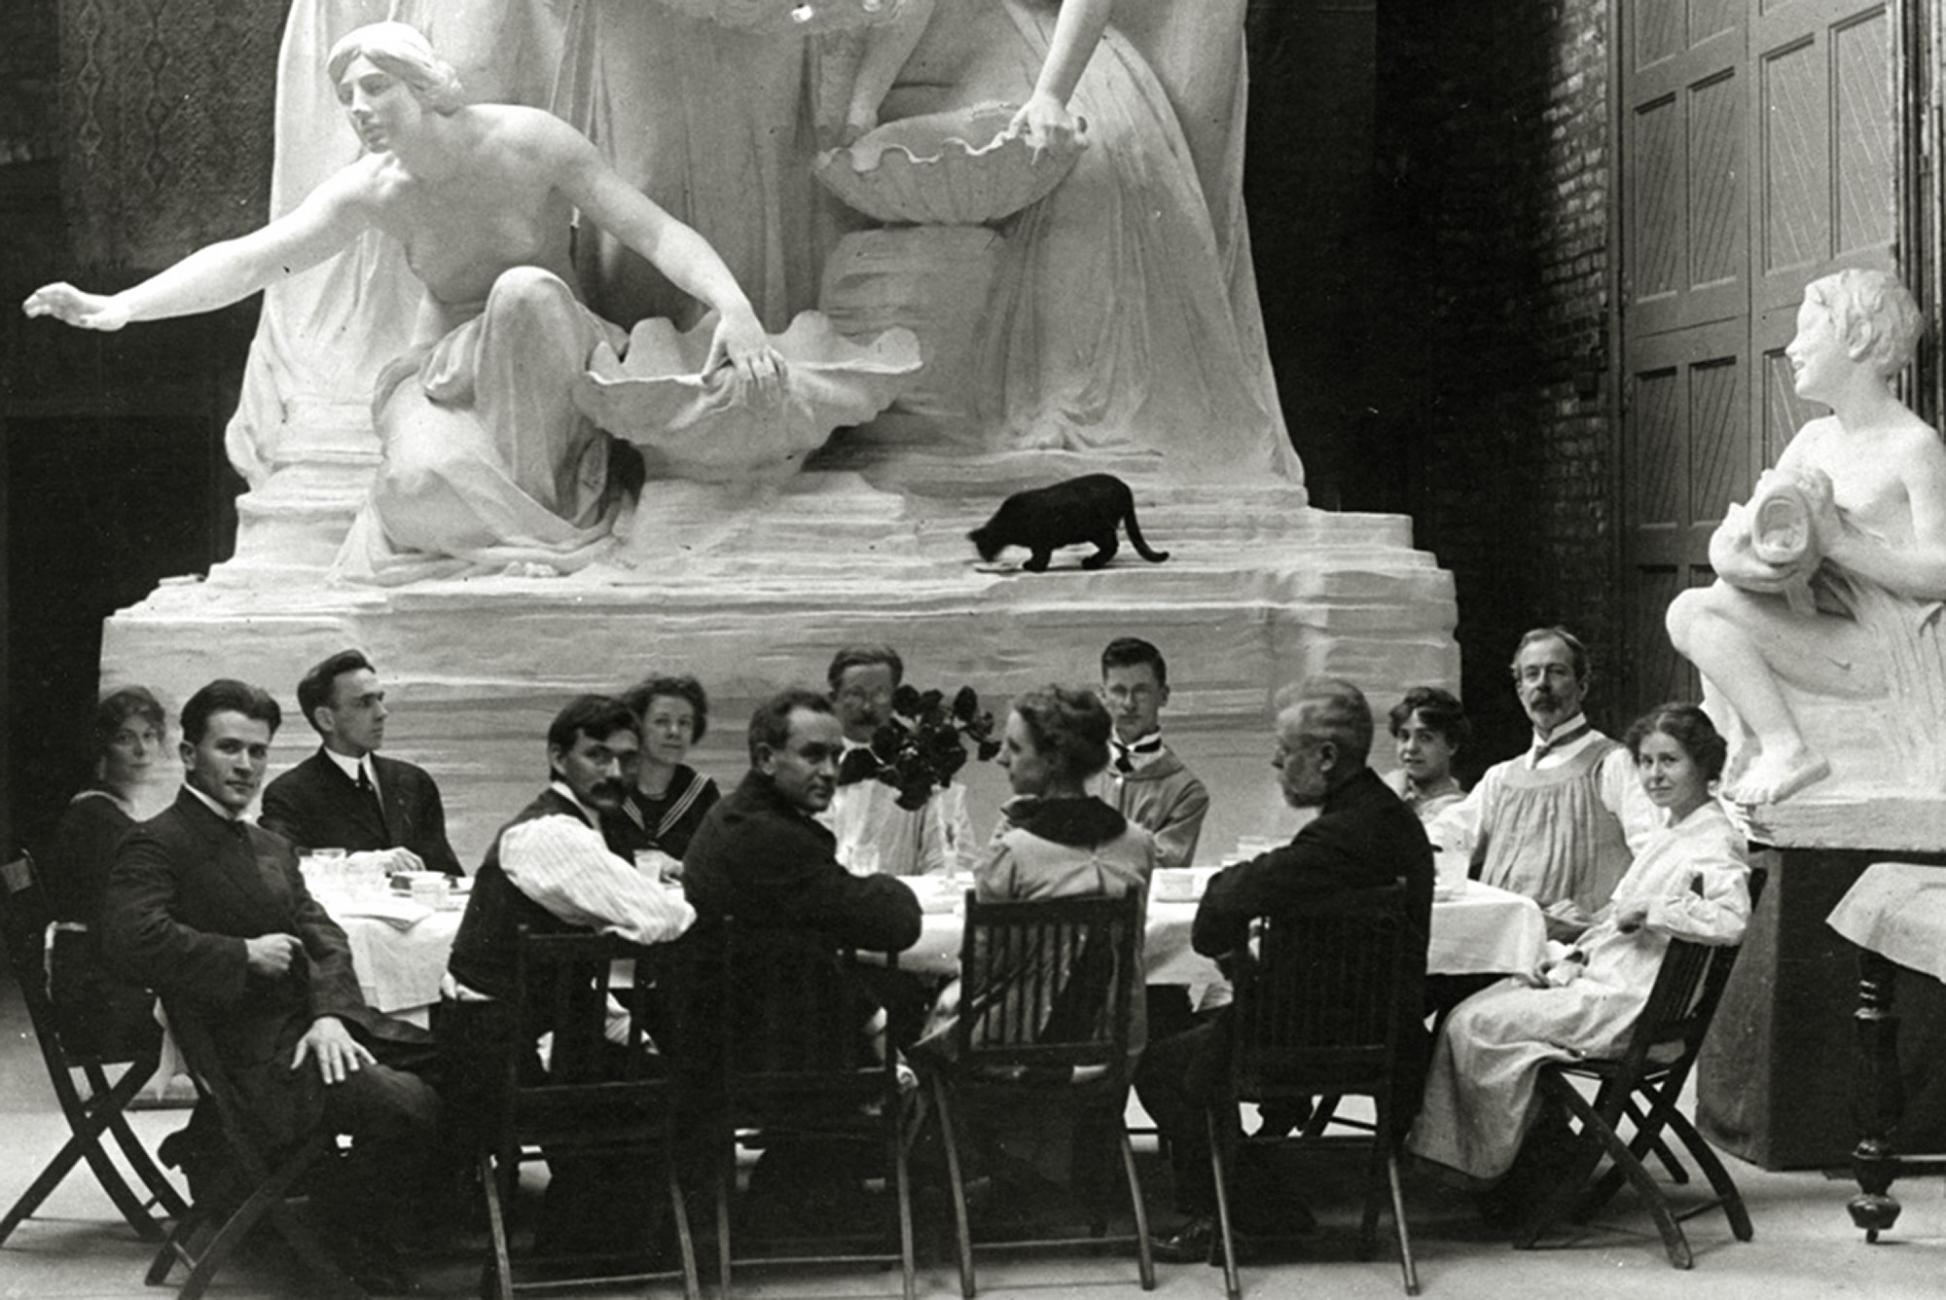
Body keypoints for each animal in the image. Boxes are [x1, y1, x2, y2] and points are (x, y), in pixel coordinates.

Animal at [961, 469, 1159, 564]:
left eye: (980, 546)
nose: (985, 559)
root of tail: (1124, 486)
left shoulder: (1041, 541)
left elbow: (1041, 557)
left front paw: (1032, 567)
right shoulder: (1037, 543)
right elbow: (1037, 555)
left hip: (1098, 529)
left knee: (1111, 546)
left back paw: (1091, 563)